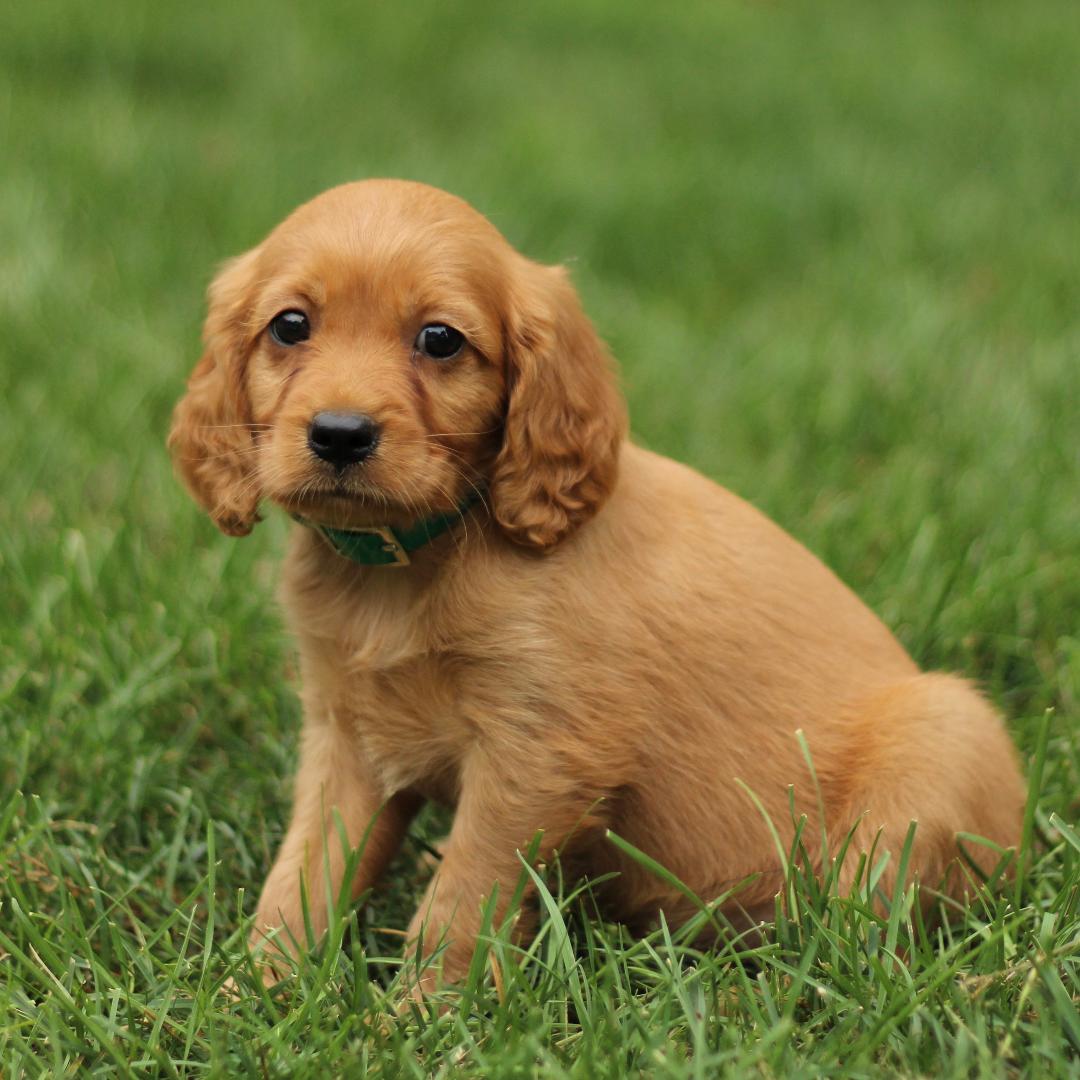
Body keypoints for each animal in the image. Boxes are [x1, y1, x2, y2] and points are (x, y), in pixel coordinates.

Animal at [166, 181, 1019, 989]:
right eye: (289, 326)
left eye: (440, 339)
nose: (340, 435)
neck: (412, 563)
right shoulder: (346, 739)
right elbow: (304, 877)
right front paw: (257, 991)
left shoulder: (539, 753)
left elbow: (463, 900)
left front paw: (420, 1013)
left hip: (939, 743)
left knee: (861, 943)